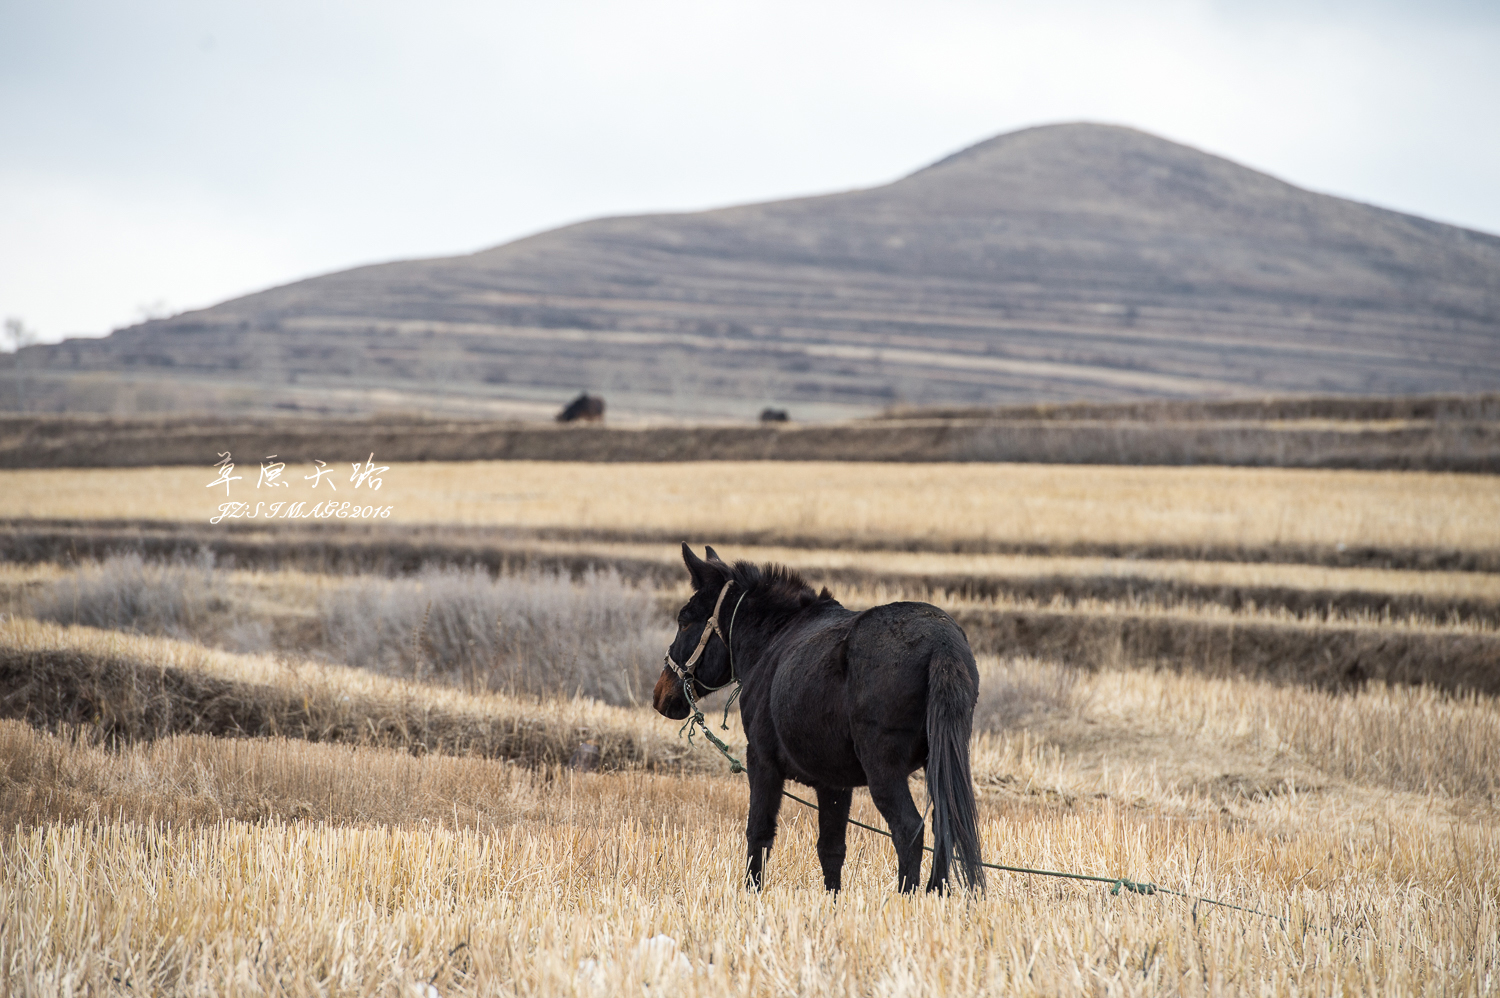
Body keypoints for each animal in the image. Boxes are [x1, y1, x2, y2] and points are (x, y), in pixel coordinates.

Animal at [654, 540, 984, 888]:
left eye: (685, 620)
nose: (660, 695)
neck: (773, 638)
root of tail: (942, 644)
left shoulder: (761, 760)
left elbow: (759, 835)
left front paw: (750, 892)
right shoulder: (833, 783)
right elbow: (831, 850)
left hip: (883, 767)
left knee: (908, 830)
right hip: (941, 760)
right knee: (944, 825)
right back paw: (937, 892)